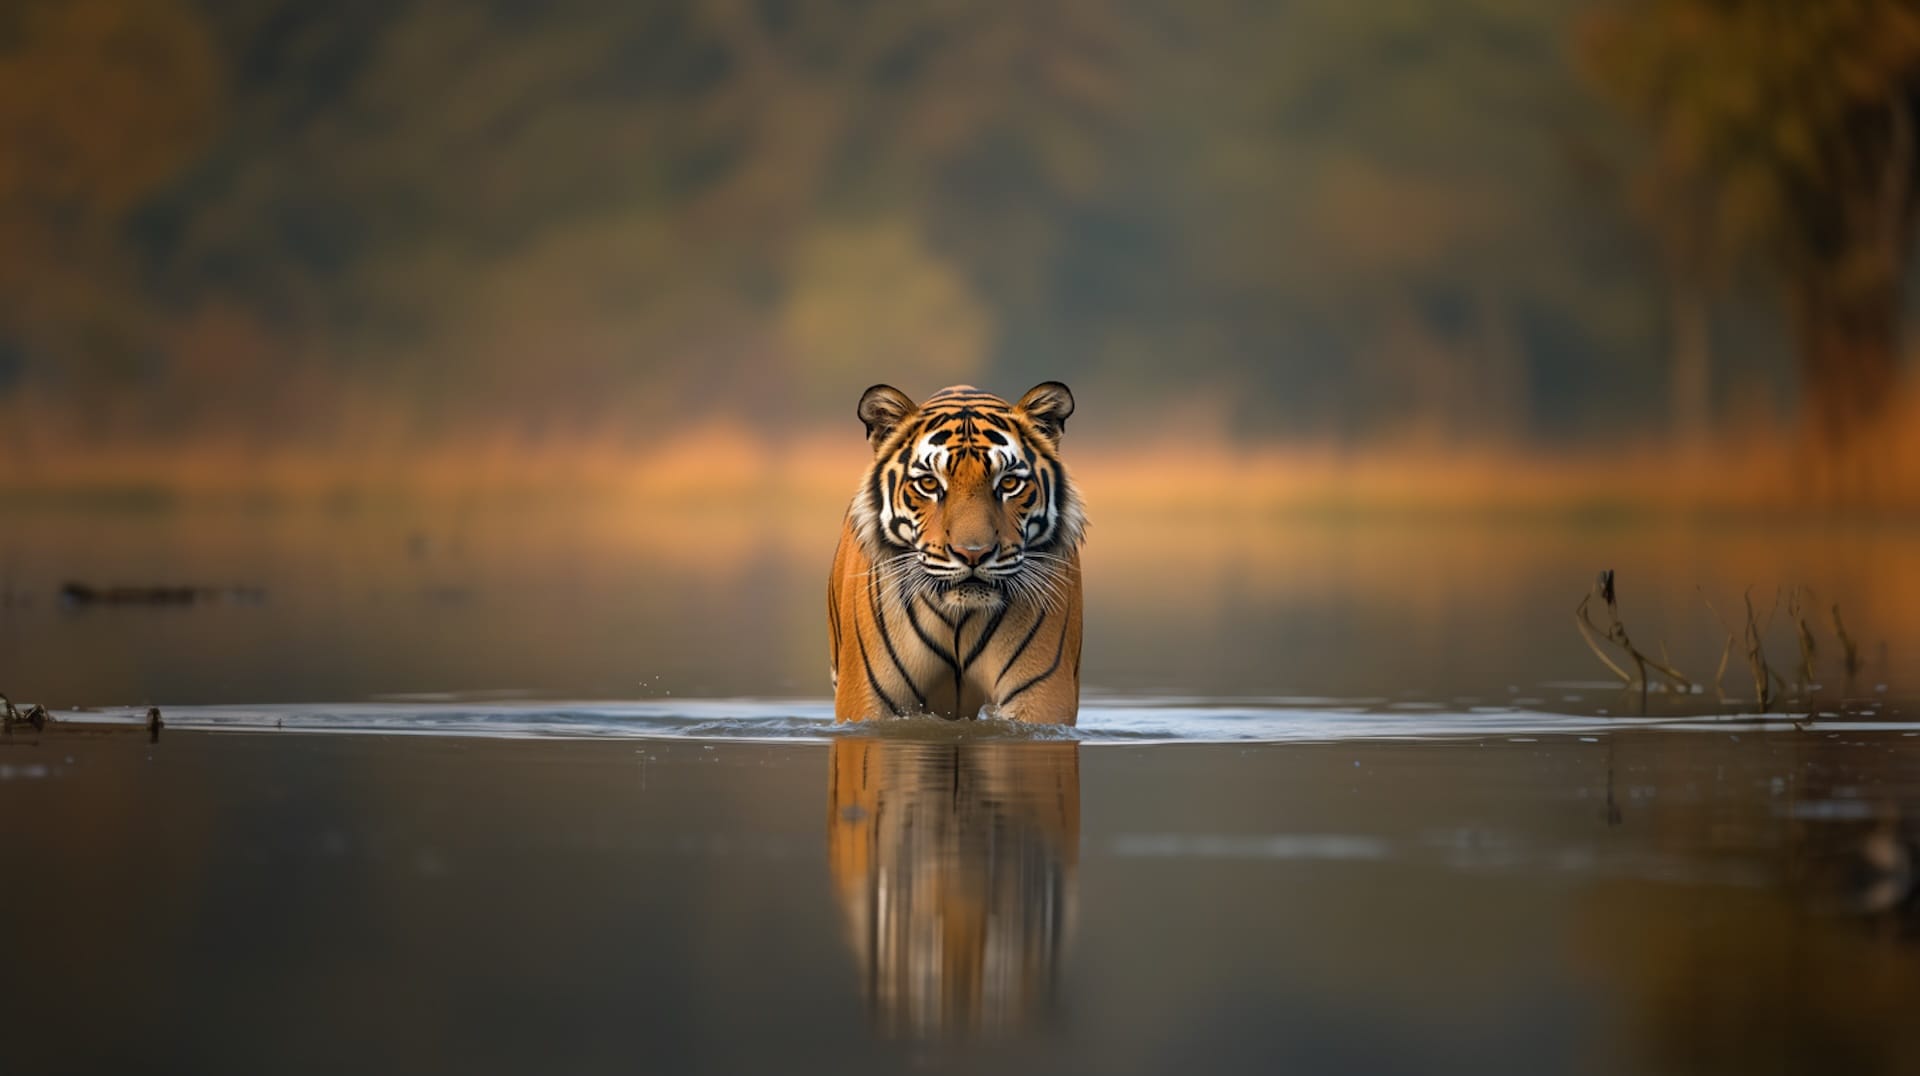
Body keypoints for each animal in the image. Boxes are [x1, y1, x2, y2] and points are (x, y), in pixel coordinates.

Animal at [827, 382, 1086, 723]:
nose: (973, 553)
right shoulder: (869, 700)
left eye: (1009, 483)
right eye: (928, 483)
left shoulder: (1039, 694)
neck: (958, 621)